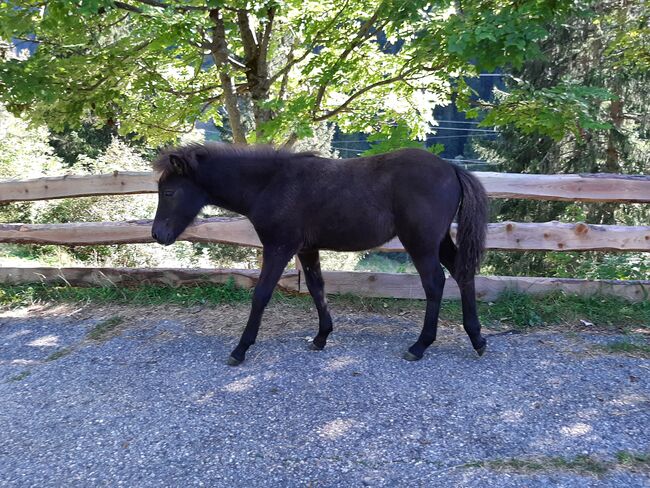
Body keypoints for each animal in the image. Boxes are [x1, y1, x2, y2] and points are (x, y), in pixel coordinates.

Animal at [151, 143, 486, 364]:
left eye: (169, 192)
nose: (157, 235)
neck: (271, 184)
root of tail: (451, 168)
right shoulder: (307, 249)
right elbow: (317, 289)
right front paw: (322, 337)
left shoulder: (279, 247)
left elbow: (261, 294)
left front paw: (240, 349)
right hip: (439, 241)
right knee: (462, 273)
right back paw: (477, 338)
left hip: (421, 242)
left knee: (435, 283)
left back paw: (420, 345)